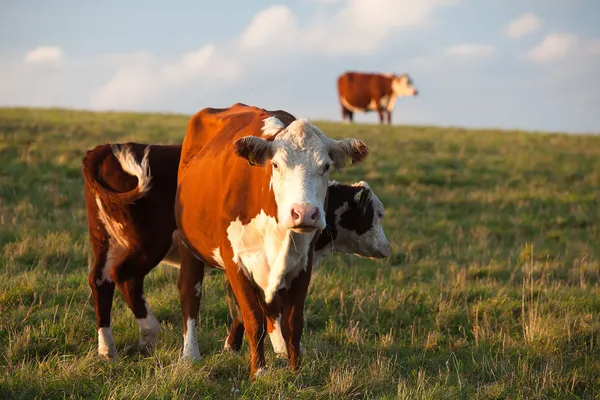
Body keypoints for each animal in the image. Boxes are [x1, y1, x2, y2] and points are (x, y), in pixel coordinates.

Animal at [81, 141, 390, 362]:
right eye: (378, 214)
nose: (387, 248)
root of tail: (104, 149)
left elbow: (248, 306)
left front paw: (236, 346)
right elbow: (262, 306)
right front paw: (277, 348)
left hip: (104, 240)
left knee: (101, 281)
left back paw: (107, 349)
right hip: (148, 243)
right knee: (124, 276)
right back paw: (149, 335)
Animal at [176, 103, 368, 378]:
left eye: (326, 166)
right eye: (276, 165)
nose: (304, 213)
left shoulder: (303, 263)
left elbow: (292, 322)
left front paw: (295, 368)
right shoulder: (234, 259)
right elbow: (253, 318)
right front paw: (259, 371)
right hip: (188, 244)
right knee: (190, 293)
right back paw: (191, 354)